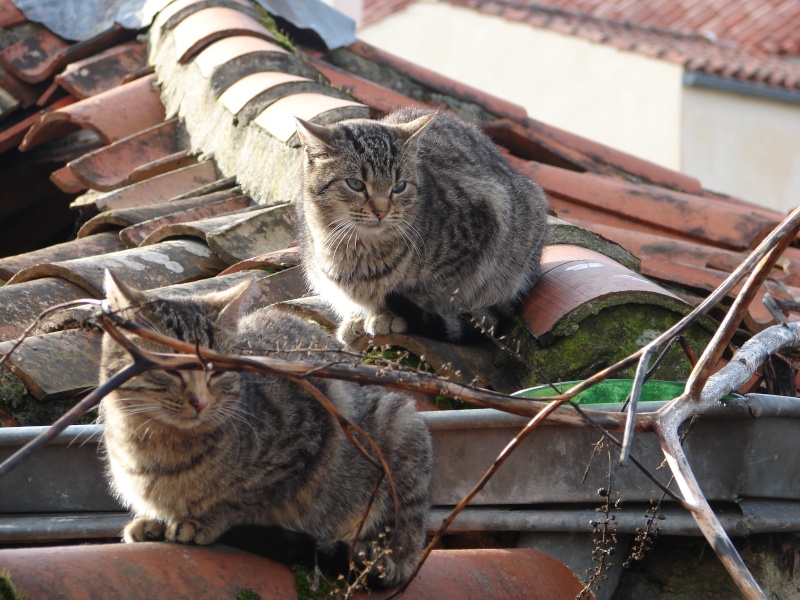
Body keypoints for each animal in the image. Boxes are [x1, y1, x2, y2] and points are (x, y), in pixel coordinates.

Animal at [101, 270, 438, 584]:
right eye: (170, 367)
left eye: (216, 369)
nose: (199, 401)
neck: (156, 445)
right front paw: (152, 519)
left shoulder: (303, 440)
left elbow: (243, 497)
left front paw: (205, 520)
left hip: (399, 431)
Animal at [296, 105, 552, 344]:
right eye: (355, 184)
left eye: (399, 186)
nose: (381, 211)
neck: (358, 252)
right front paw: (356, 318)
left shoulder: (483, 228)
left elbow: (418, 292)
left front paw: (387, 314)